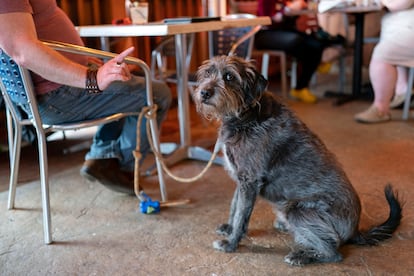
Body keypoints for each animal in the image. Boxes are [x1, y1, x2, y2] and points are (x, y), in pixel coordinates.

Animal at [192, 55, 402, 266]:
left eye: (229, 76)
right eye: (208, 72)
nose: (204, 92)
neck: (246, 115)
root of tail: (355, 230)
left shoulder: (249, 181)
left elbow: (242, 214)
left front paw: (231, 243)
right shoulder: (241, 179)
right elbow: (235, 207)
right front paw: (229, 228)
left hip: (298, 211)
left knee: (334, 253)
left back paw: (301, 256)